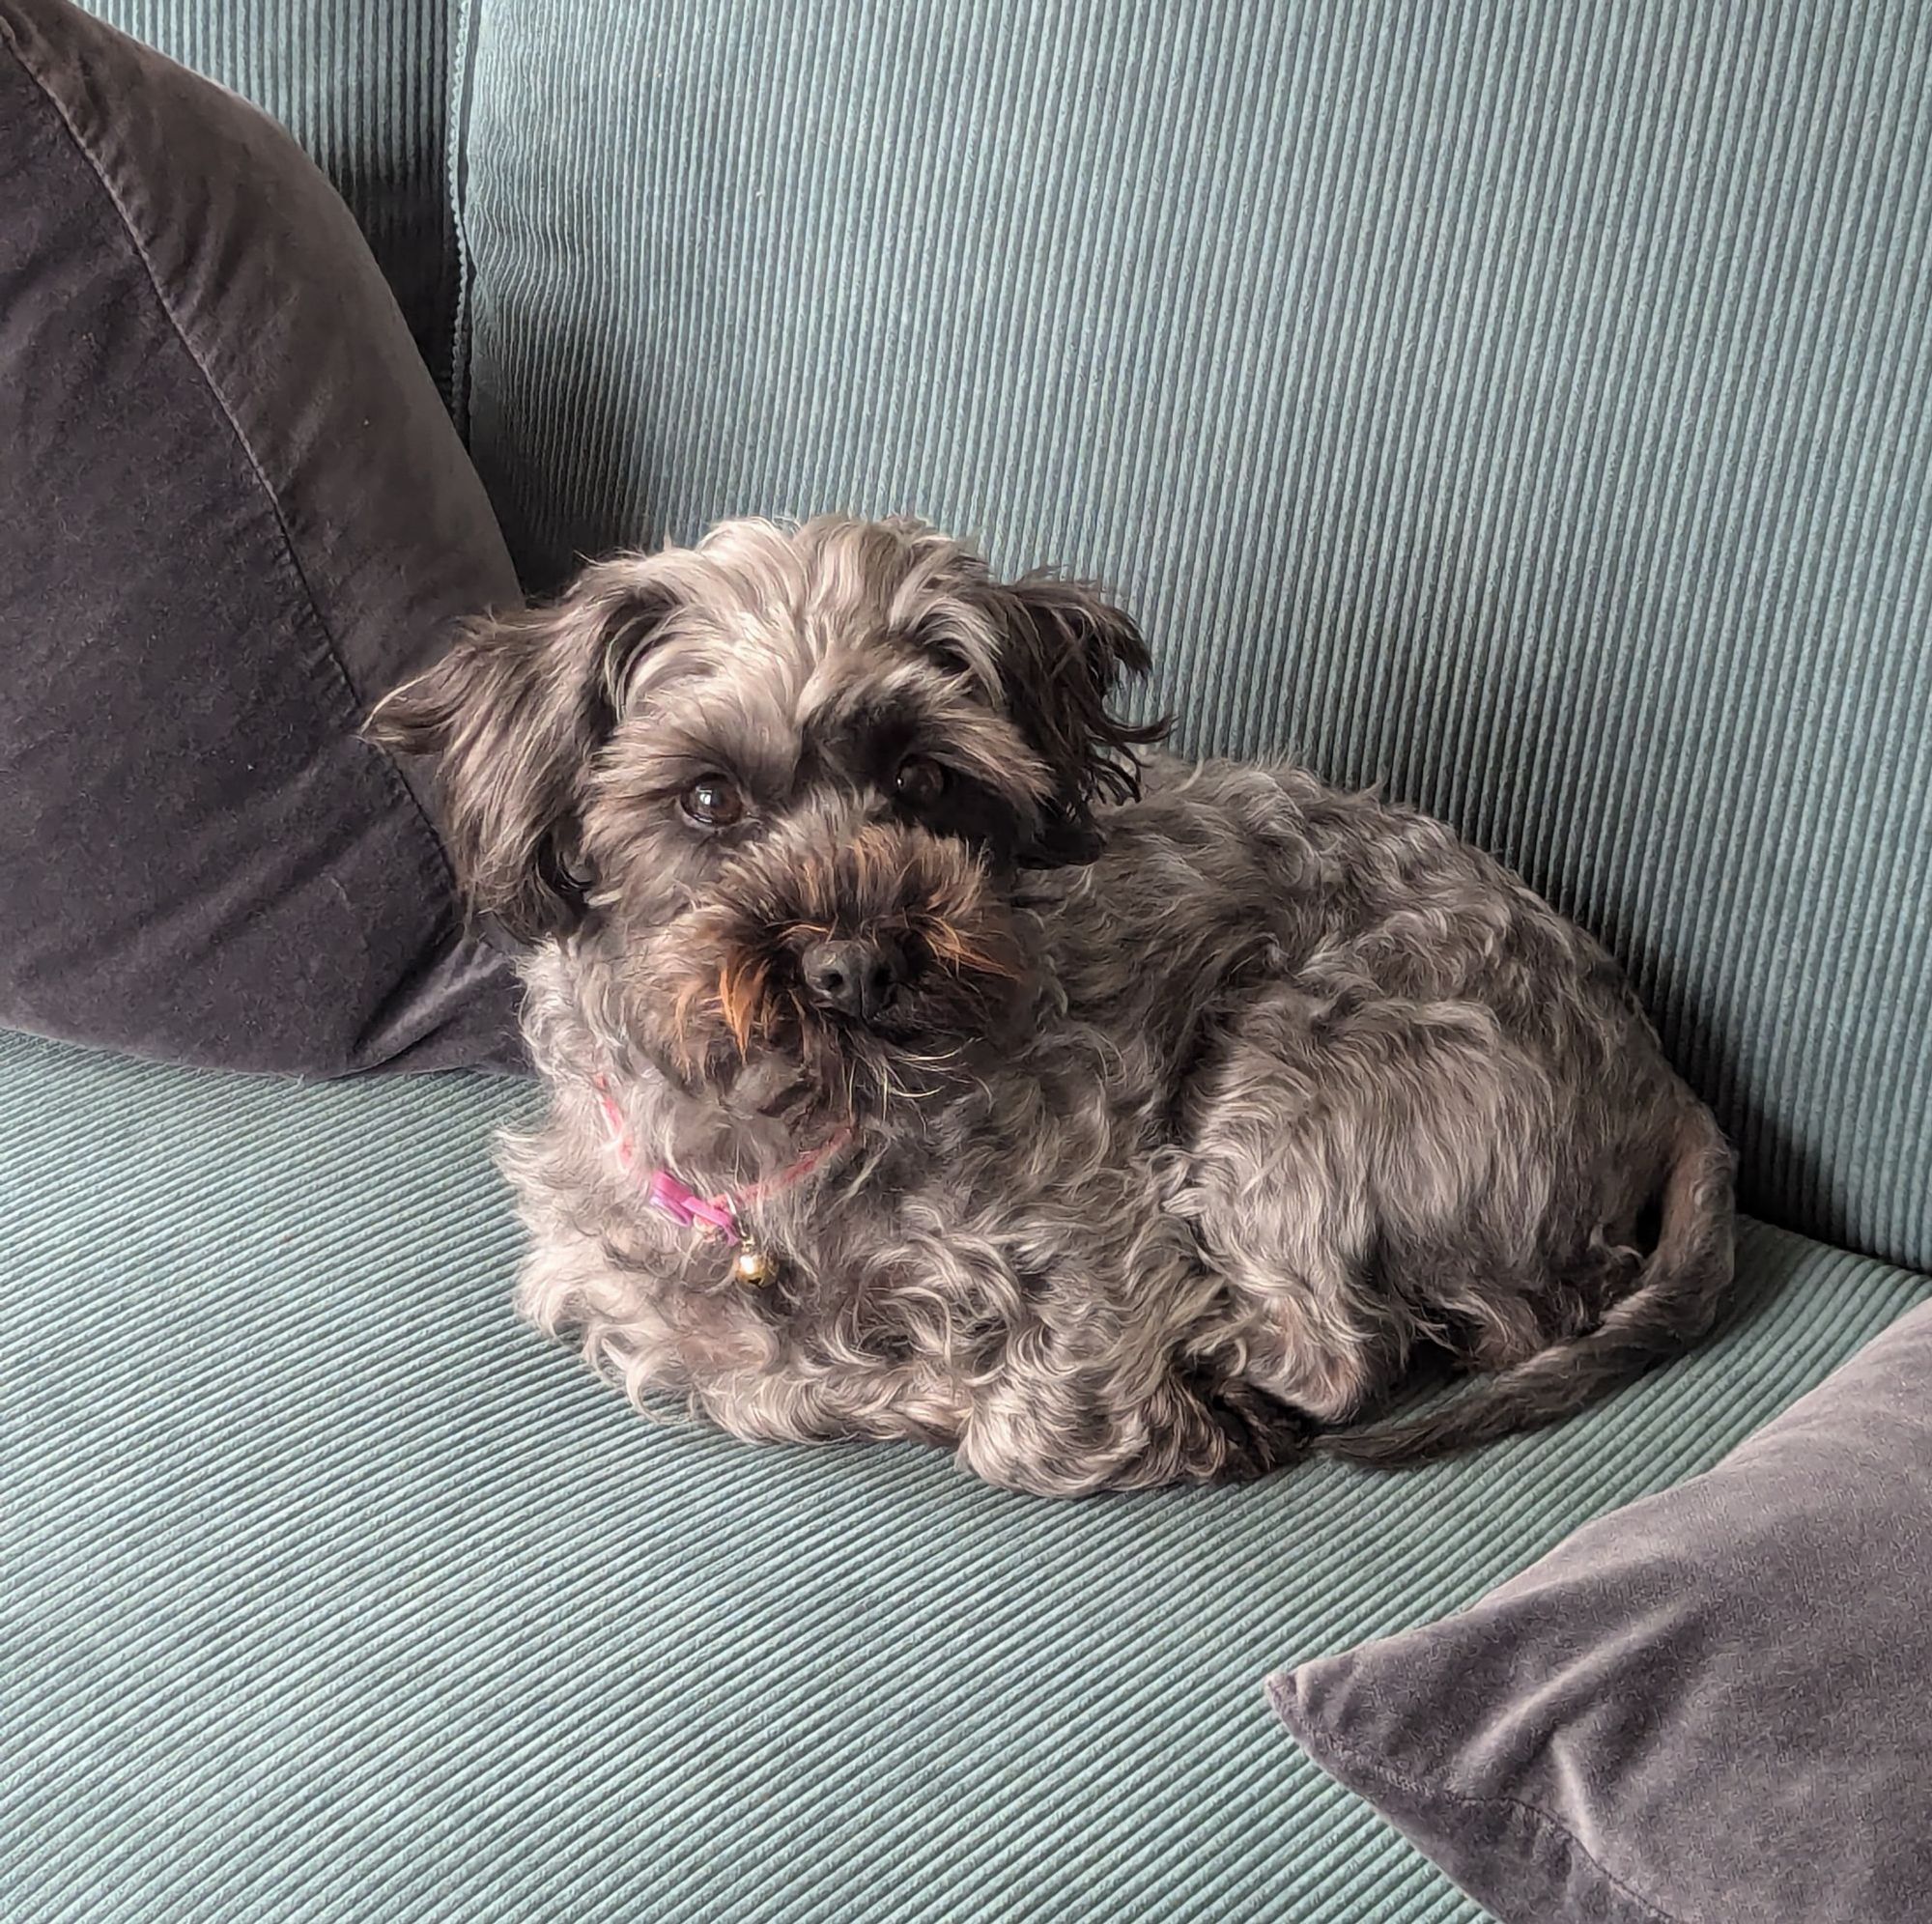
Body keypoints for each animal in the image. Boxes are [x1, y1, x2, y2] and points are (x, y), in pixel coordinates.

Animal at [369, 518, 1747, 1499]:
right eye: (707, 798)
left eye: (924, 777)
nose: (853, 966)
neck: (800, 1144)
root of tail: (1657, 1074)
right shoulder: (627, 1302)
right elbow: (767, 1370)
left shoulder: (1104, 1227)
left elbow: (1026, 1414)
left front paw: (1134, 1406)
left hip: (1281, 1083)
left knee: (1357, 1348)